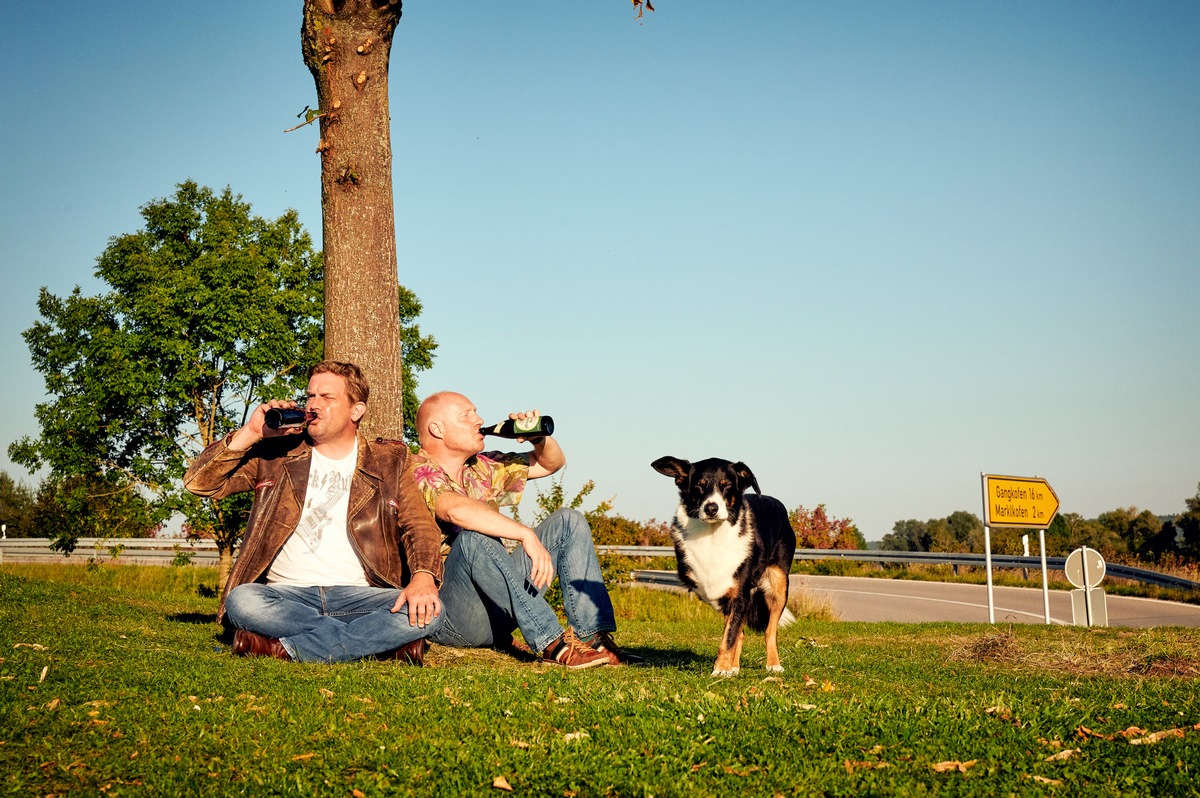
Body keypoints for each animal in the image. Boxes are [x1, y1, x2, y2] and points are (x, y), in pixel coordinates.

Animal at [652, 458, 792, 676]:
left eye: (726, 485)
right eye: (699, 485)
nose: (711, 508)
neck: (712, 535)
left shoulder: (740, 595)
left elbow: (729, 637)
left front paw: (720, 670)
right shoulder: (725, 593)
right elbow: (732, 634)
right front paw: (726, 668)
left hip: (779, 584)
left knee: (770, 630)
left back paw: (773, 664)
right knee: (741, 633)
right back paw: (734, 667)